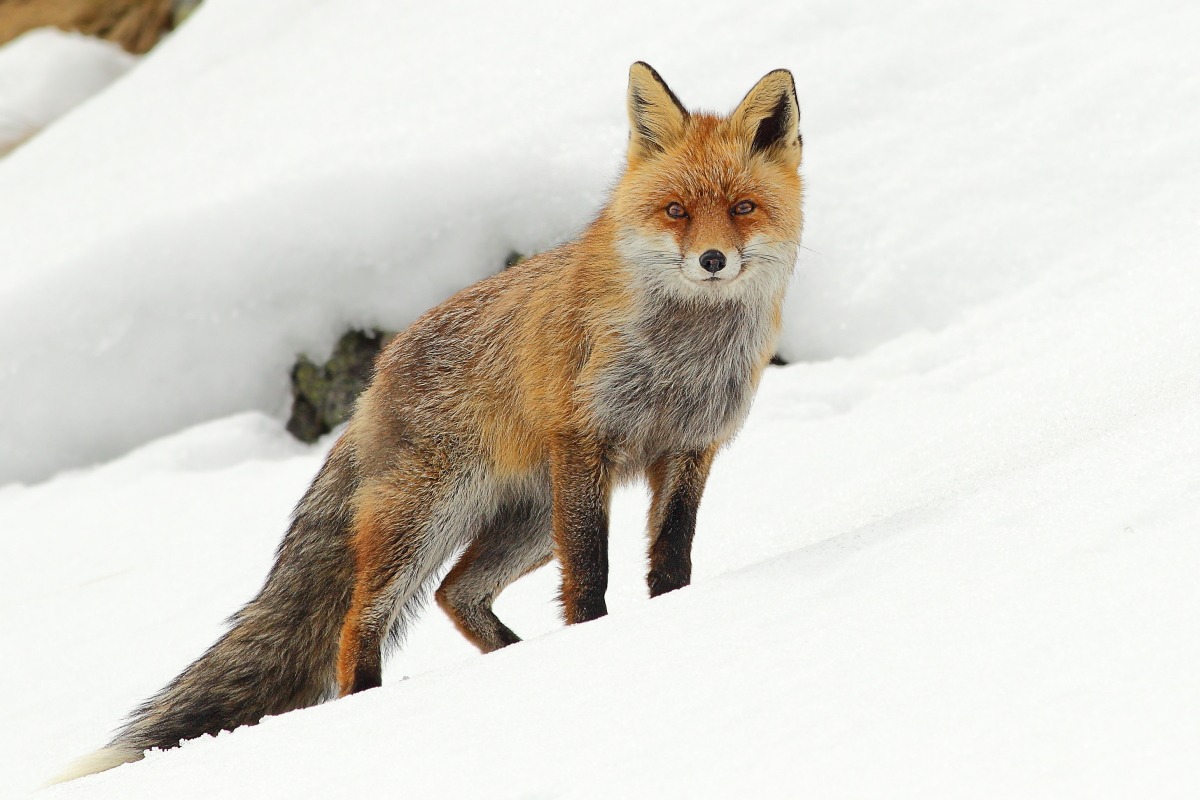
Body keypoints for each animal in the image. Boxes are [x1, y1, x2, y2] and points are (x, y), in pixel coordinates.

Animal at [54, 61, 804, 783]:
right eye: (676, 210)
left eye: (742, 208)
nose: (713, 261)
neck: (682, 358)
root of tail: (373, 381)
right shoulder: (585, 441)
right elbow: (591, 573)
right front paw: (591, 642)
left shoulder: (691, 448)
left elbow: (672, 556)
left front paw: (667, 616)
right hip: (432, 520)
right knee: (360, 620)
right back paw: (371, 702)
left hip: (530, 523)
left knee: (454, 592)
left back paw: (511, 656)